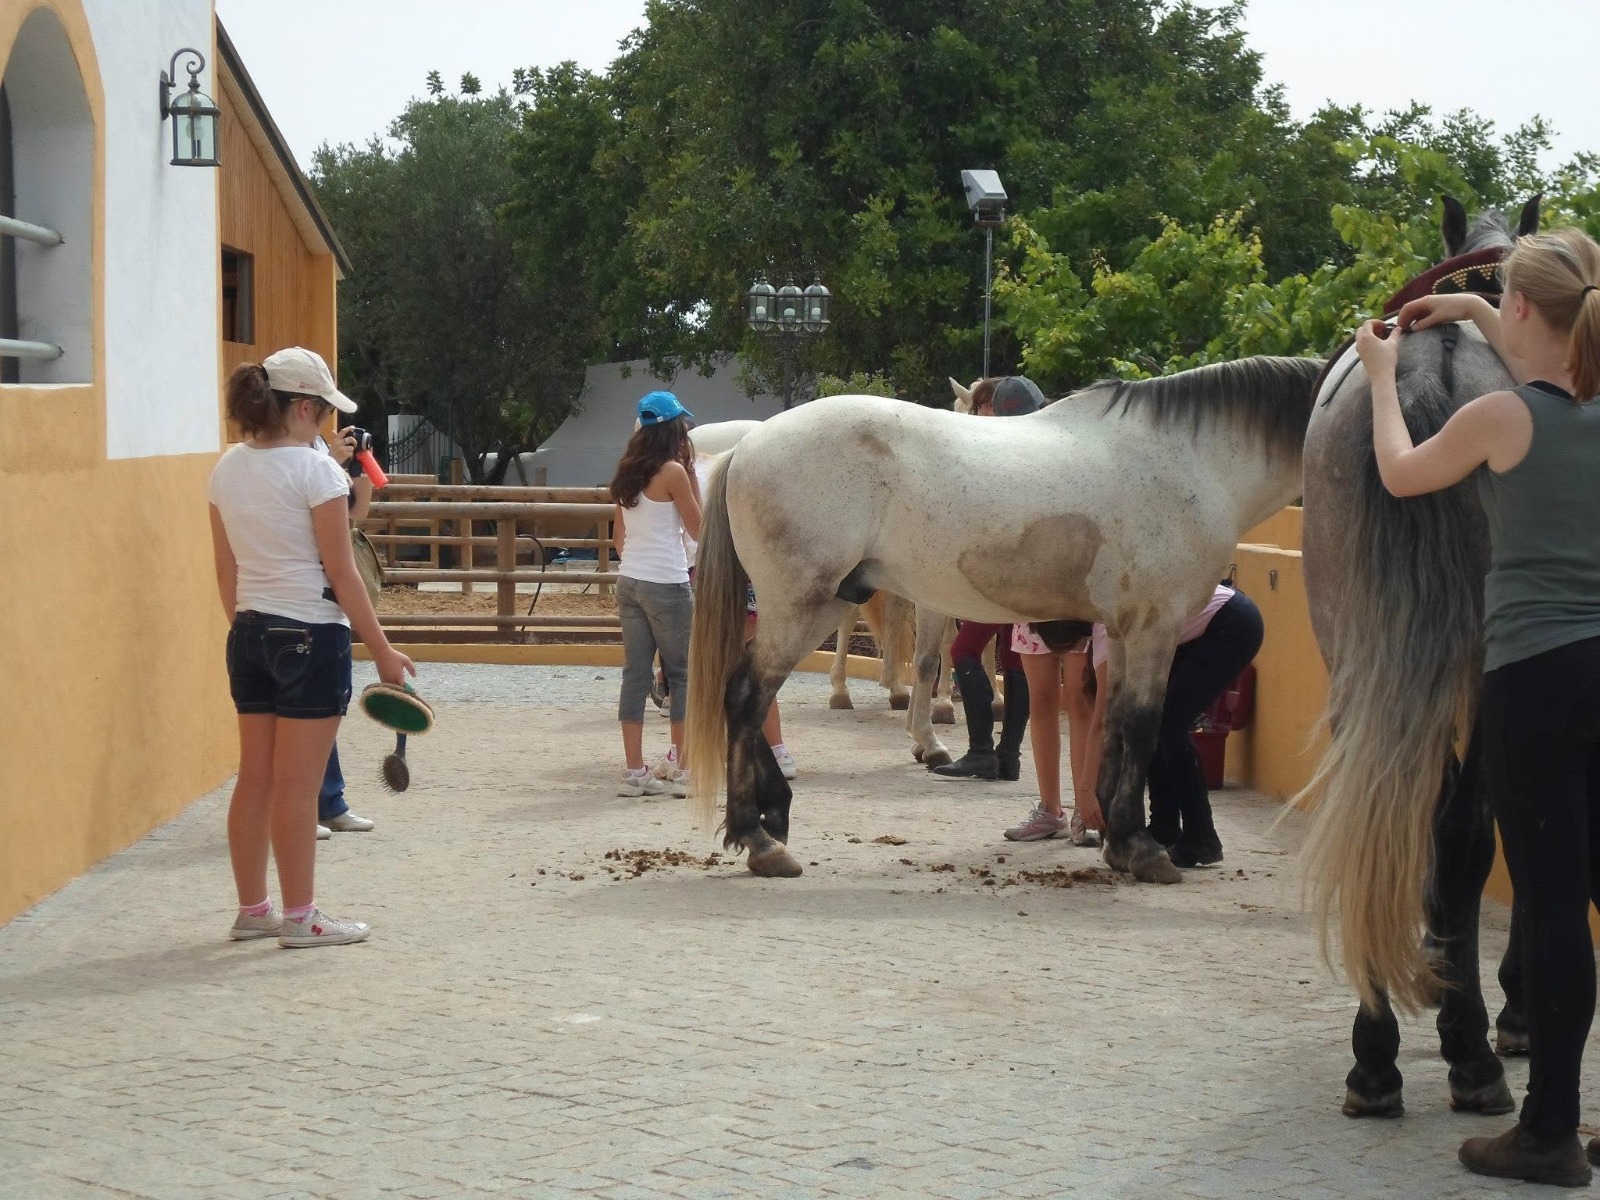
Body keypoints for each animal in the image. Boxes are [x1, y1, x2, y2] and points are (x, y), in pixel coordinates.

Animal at [684, 356, 1323, 879]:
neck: (1189, 459)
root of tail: (748, 445)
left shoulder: (1121, 634)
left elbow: (1115, 726)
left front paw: (1117, 837)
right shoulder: (1154, 629)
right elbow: (1143, 726)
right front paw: (1141, 848)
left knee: (750, 702)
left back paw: (771, 815)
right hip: (803, 608)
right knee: (746, 698)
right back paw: (759, 838)